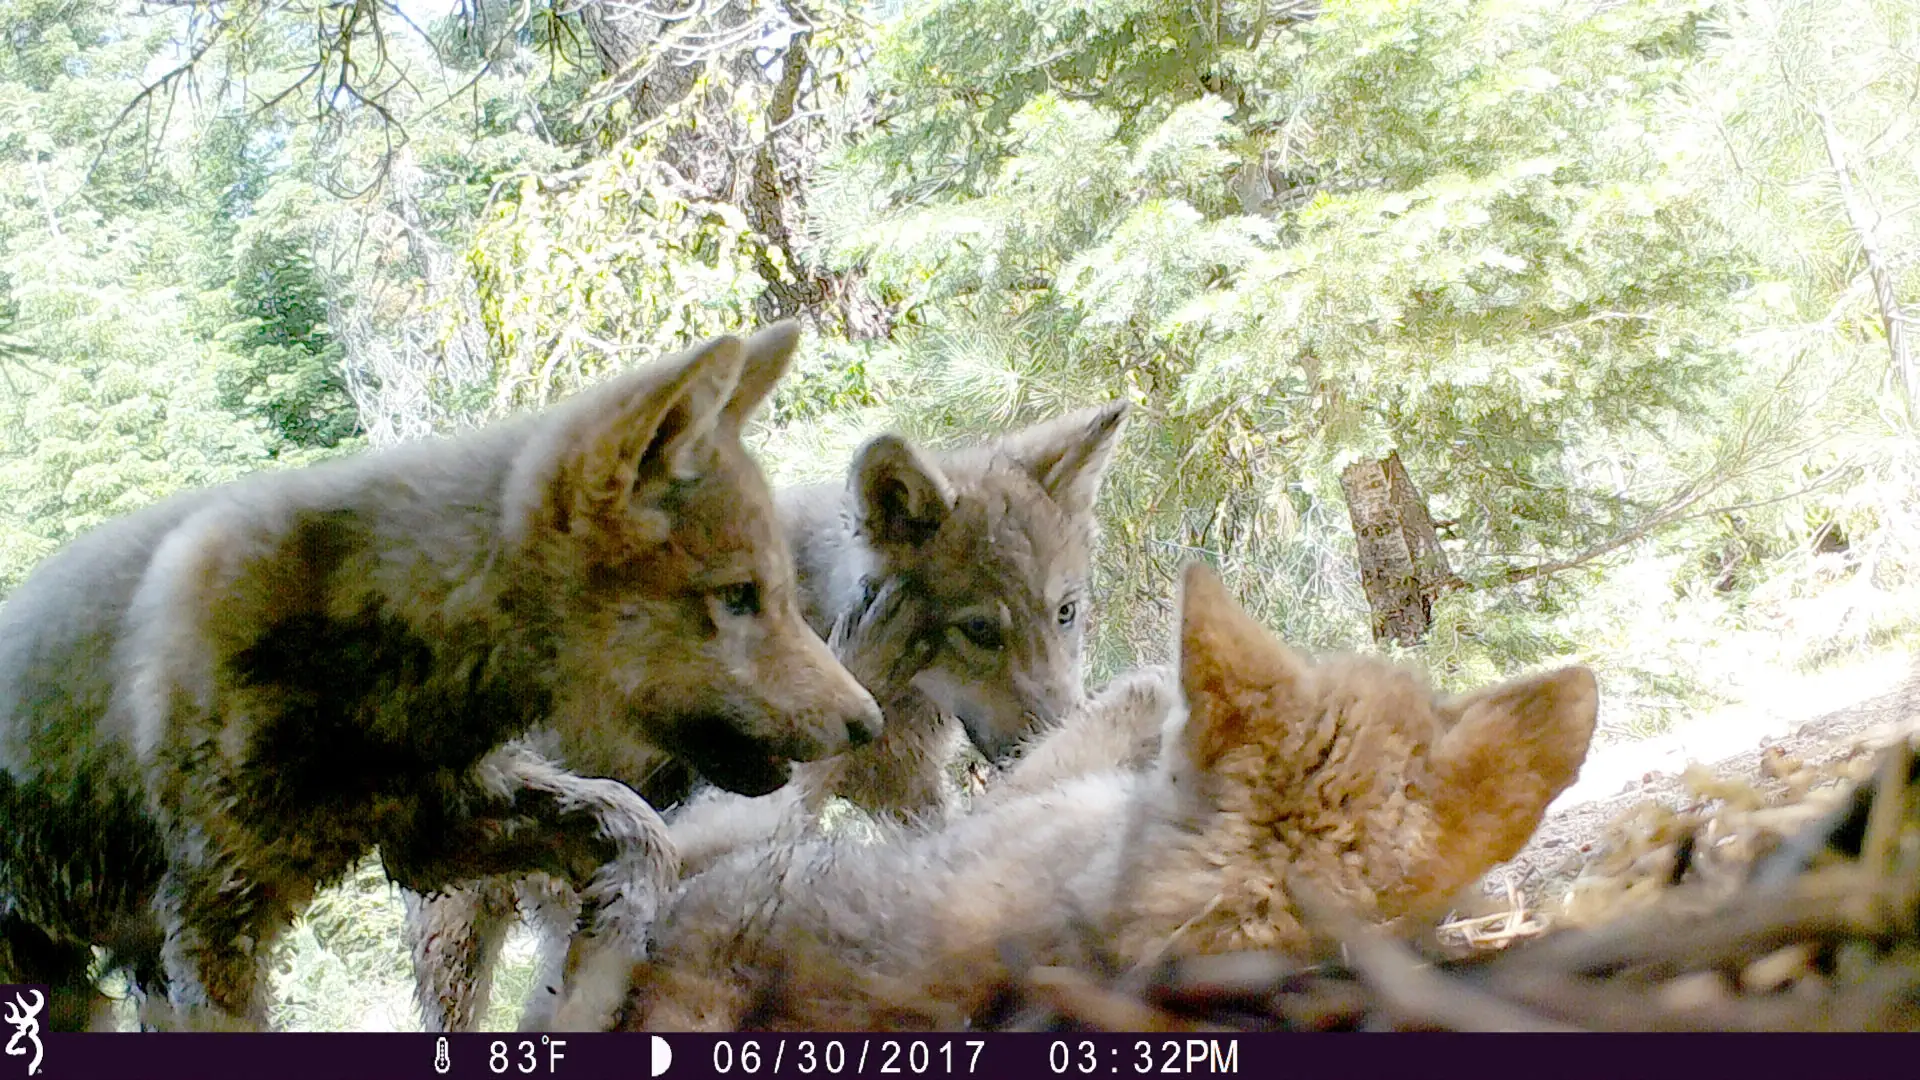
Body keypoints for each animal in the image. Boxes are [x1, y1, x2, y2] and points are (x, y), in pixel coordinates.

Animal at [0, 322, 882, 1032]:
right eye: (737, 598)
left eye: (780, 594)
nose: (869, 723)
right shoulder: (210, 923)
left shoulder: (435, 831)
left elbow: (638, 833)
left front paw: (587, 982)